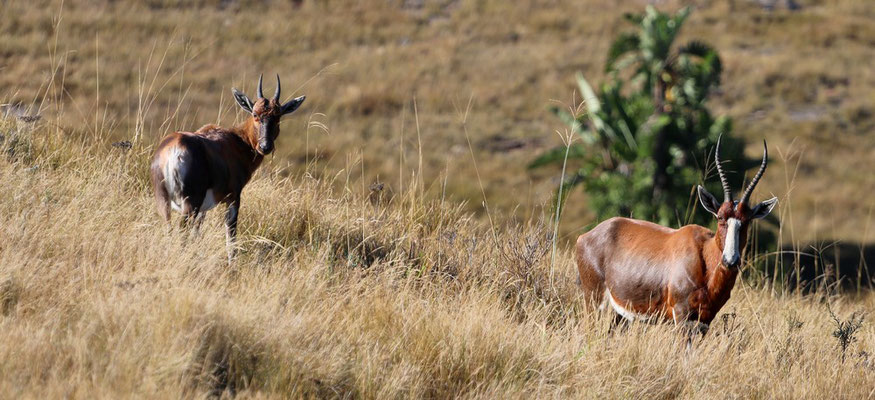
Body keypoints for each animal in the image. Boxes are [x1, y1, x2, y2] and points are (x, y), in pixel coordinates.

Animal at [153, 75, 308, 260]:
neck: (234, 140)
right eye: (255, 114)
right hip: (190, 204)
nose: (265, 146)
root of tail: (174, 150)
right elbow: (231, 233)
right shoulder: (233, 197)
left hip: (164, 202)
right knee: (182, 233)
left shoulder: (204, 208)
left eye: (278, 116)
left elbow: (197, 232)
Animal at [580, 138, 776, 334]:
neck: (704, 254)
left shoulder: (704, 321)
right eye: (720, 217)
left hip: (620, 314)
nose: (730, 260)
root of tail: (586, 236)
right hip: (595, 303)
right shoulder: (681, 316)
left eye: (747, 220)